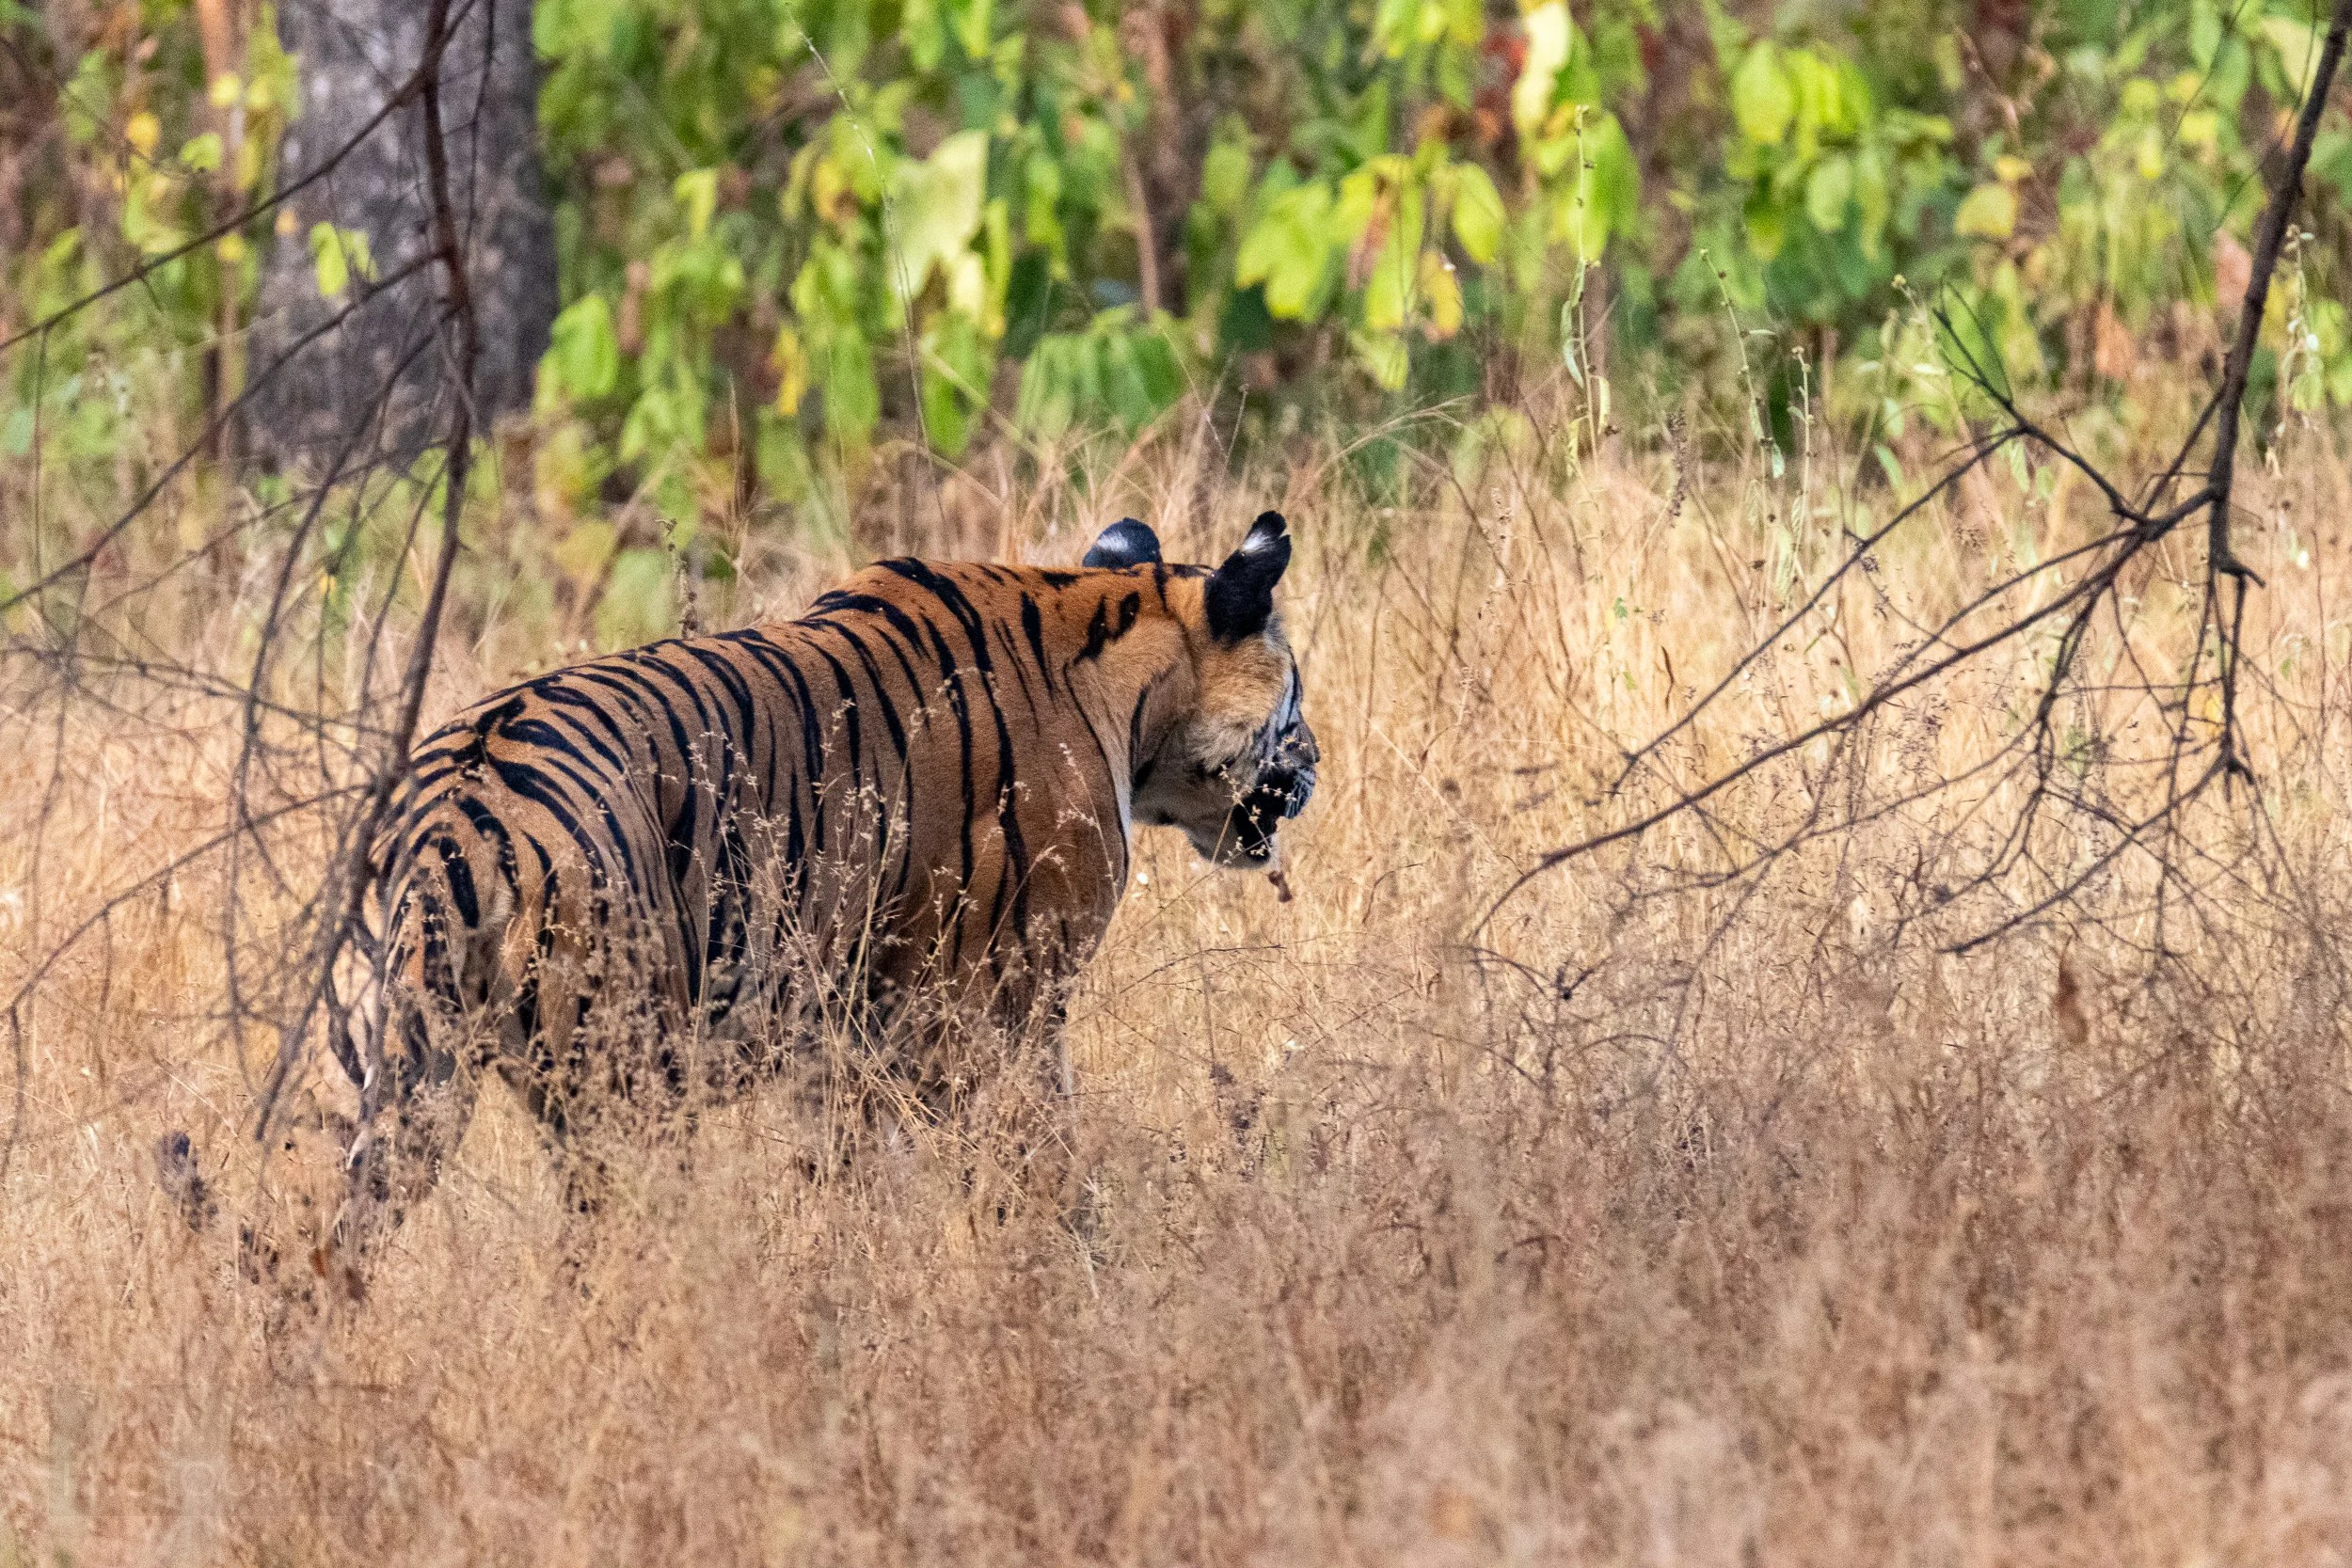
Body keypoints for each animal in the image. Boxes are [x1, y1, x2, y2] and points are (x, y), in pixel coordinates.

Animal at [170, 510, 1316, 1271]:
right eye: (1296, 691)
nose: (1314, 761)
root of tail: (460, 803)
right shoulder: (998, 1016)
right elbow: (1037, 1174)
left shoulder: (844, 1039)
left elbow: (852, 1185)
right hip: (624, 1082)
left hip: (421, 1071)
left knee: (336, 1255)